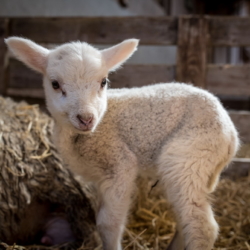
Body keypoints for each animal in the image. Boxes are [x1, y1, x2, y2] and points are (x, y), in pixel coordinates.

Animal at [5, 37, 240, 250]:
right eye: (55, 84)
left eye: (103, 82)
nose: (86, 118)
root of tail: (232, 136)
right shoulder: (99, 178)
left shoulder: (119, 164)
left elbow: (107, 224)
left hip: (189, 156)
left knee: (201, 226)